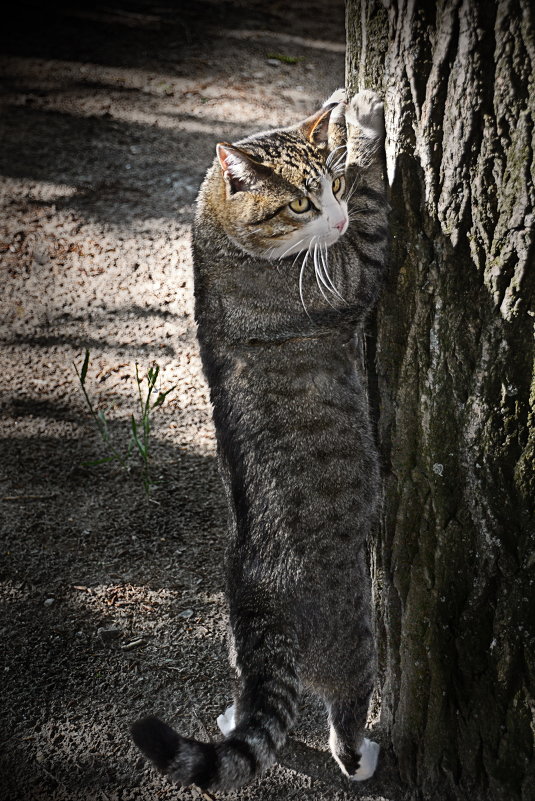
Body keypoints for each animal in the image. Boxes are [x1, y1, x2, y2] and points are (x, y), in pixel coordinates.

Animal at [131, 86, 388, 788]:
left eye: (330, 185)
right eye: (300, 202)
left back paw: (228, 717)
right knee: (344, 705)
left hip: (237, 646)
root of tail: (265, 611)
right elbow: (374, 227)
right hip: (354, 633)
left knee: (252, 703)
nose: (335, 221)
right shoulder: (343, 274)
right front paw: (365, 122)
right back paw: (359, 756)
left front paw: (336, 110)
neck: (217, 240)